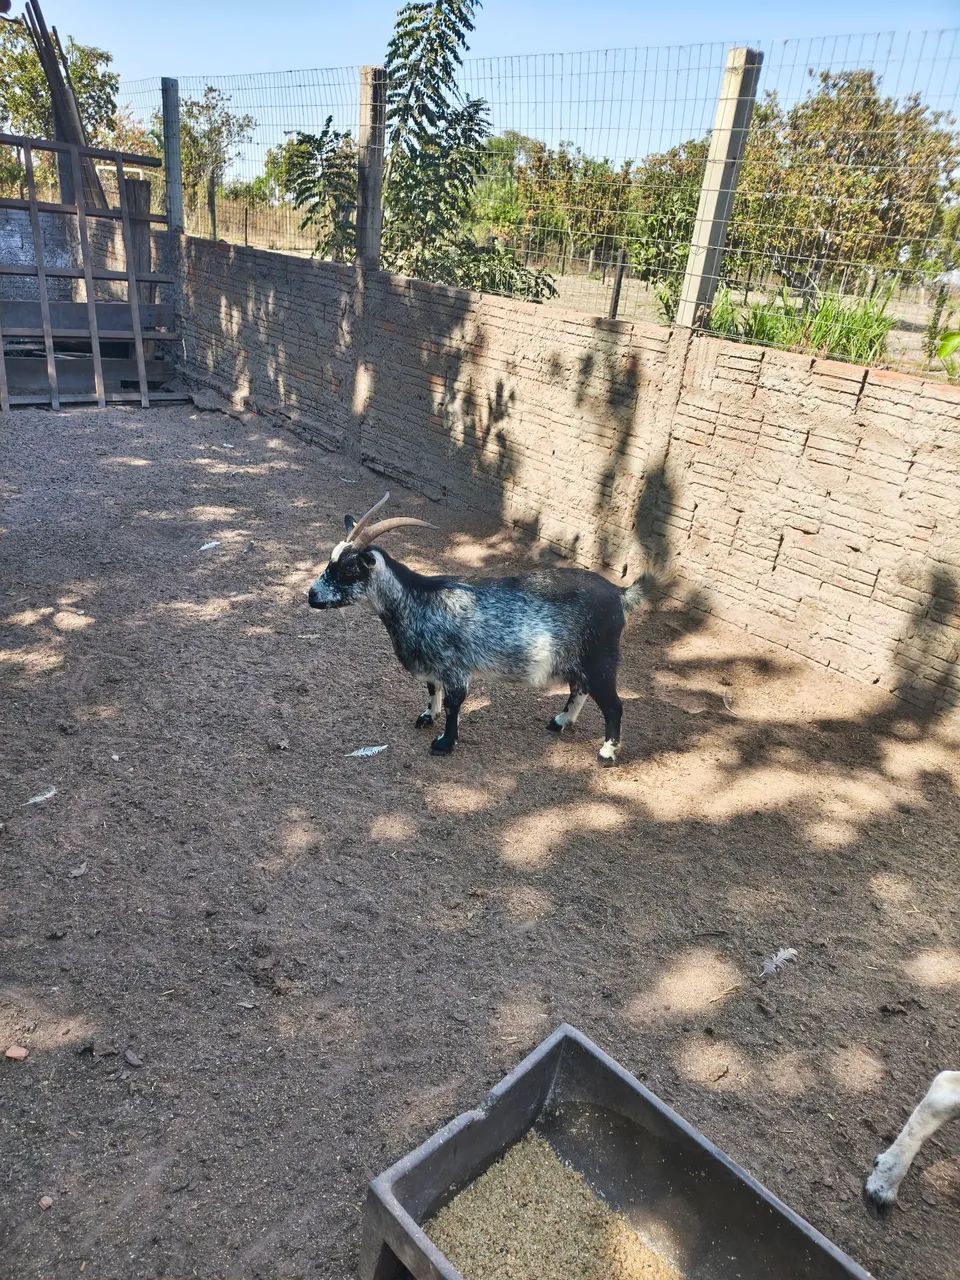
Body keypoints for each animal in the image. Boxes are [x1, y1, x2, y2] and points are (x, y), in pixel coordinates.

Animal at [307, 494, 648, 765]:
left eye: (348, 569)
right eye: (330, 562)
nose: (311, 595)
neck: (416, 599)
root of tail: (619, 595)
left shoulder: (455, 668)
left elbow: (454, 703)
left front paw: (444, 743)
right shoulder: (433, 665)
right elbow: (432, 689)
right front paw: (427, 716)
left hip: (601, 658)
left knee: (613, 705)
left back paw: (606, 753)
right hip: (578, 658)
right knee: (580, 687)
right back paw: (560, 721)